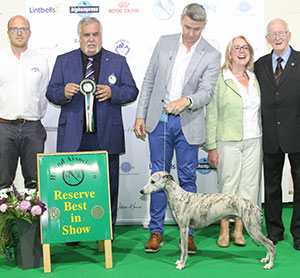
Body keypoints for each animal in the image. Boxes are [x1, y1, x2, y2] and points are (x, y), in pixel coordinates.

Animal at [141, 170, 276, 270]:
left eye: (152, 181)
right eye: (148, 180)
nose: (141, 191)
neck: (179, 197)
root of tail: (256, 206)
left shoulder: (184, 228)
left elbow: (184, 249)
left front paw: (181, 265)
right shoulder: (183, 228)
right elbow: (183, 249)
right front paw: (179, 262)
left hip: (252, 229)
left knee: (271, 245)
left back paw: (269, 265)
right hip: (255, 229)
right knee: (268, 244)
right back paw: (265, 260)